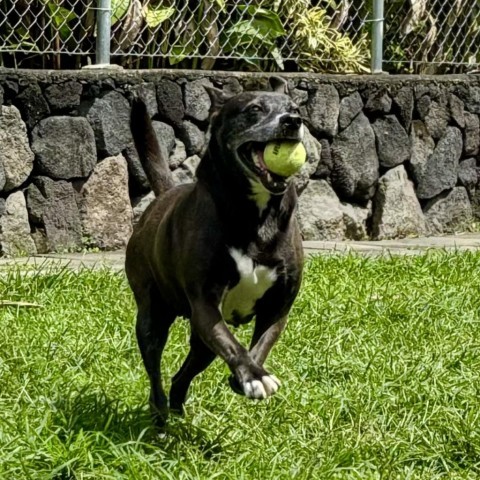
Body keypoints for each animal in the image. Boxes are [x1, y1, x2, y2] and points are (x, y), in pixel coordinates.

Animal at [126, 77, 304, 426]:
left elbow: (259, 343)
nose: (292, 121)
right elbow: (233, 344)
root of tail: (164, 195)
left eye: (294, 108)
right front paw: (252, 376)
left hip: (201, 342)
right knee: (155, 368)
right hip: (153, 314)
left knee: (182, 374)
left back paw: (178, 409)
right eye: (254, 109)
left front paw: (248, 376)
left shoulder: (277, 308)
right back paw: (160, 416)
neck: (257, 213)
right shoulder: (206, 305)